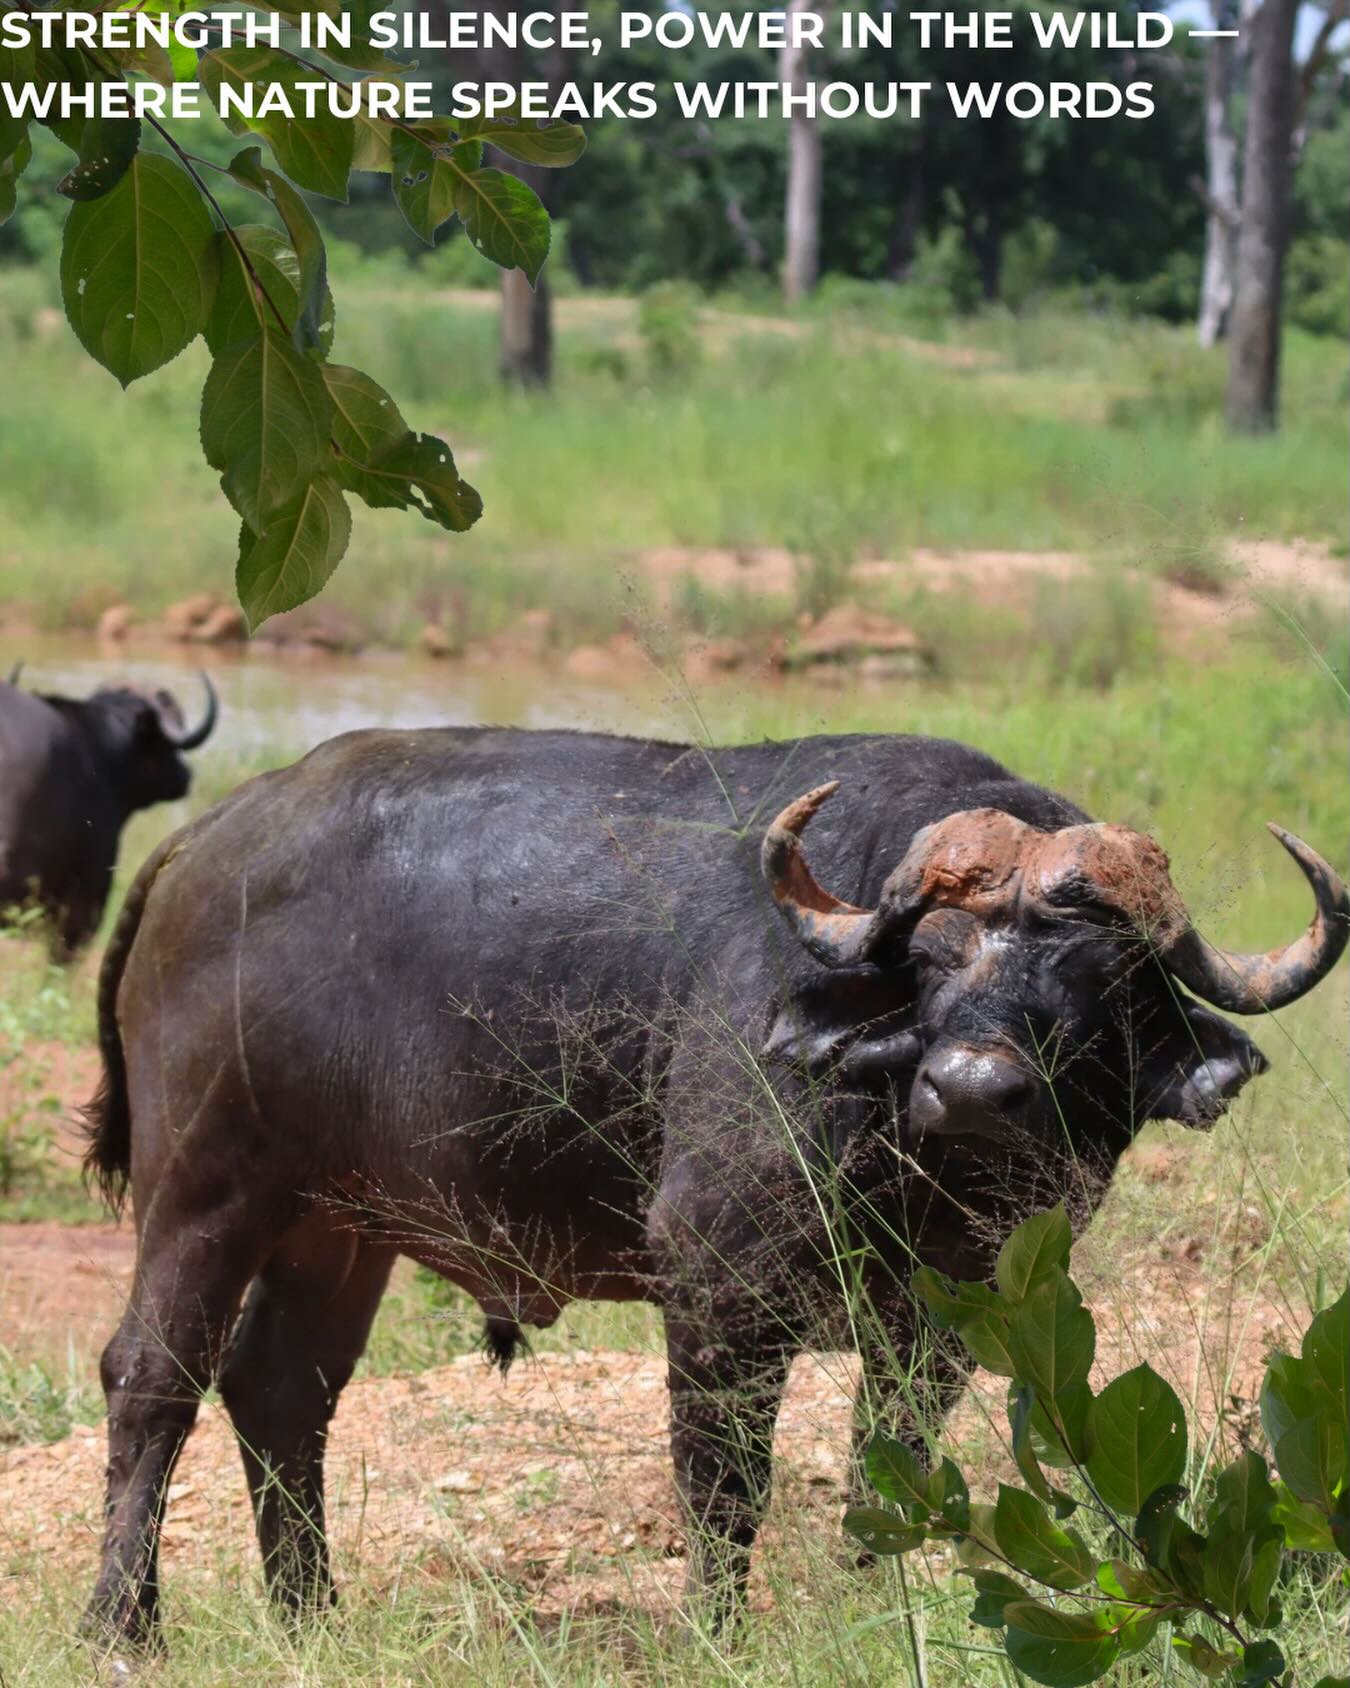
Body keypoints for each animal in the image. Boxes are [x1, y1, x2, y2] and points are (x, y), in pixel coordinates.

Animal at [79, 726, 1346, 1643]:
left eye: (1096, 986)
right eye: (934, 962)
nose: (972, 1087)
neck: (908, 1153)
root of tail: (203, 844)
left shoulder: (946, 1314)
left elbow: (891, 1461)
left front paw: (873, 1601)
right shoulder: (718, 1286)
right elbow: (723, 1476)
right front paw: (717, 1628)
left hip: (339, 1228)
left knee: (281, 1389)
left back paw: (310, 1612)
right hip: (205, 1192)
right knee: (152, 1378)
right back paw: (125, 1624)